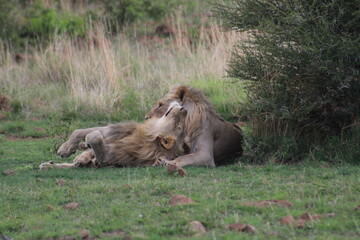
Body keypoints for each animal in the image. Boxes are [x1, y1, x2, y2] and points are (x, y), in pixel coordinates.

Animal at [40, 102, 188, 169]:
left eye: (179, 126)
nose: (184, 109)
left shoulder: (107, 158)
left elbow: (94, 136)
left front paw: (86, 144)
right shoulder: (114, 131)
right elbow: (78, 132)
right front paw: (65, 149)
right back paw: (49, 164)